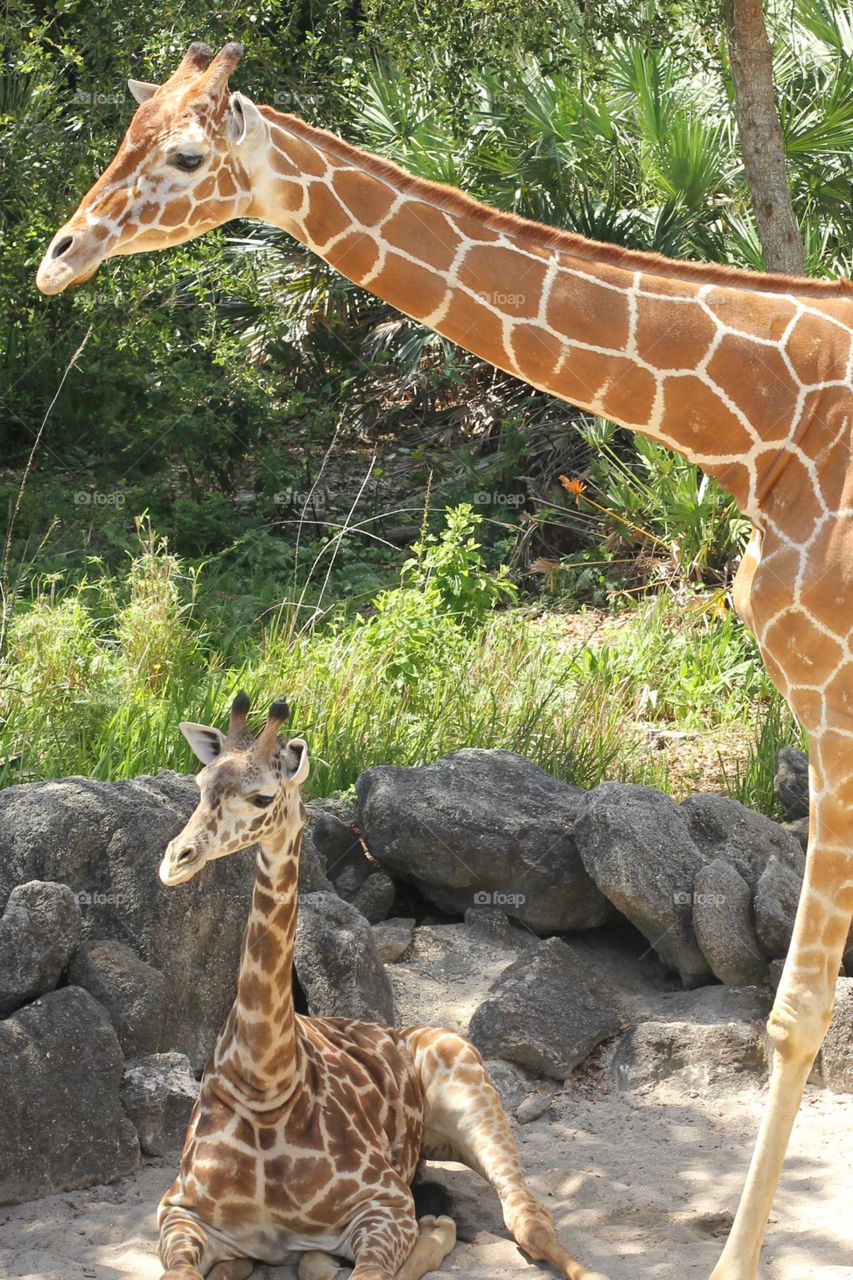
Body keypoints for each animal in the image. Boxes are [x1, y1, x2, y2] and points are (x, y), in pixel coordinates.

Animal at [154, 691, 604, 1280]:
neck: (265, 1082)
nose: (174, 860)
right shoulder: (179, 1212)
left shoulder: (384, 1204)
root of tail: (404, 1030)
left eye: (261, 797)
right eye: (201, 782)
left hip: (474, 1097)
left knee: (527, 1218)